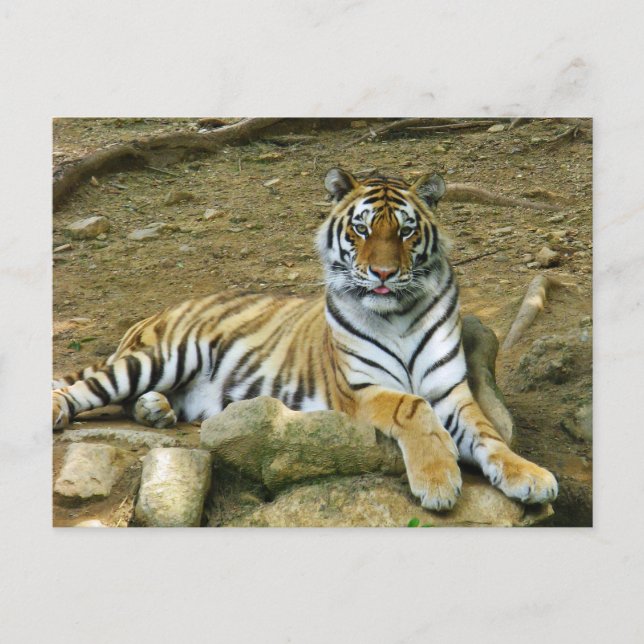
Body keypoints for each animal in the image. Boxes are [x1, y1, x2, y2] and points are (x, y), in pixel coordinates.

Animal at [52, 167, 558, 511]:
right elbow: (411, 407)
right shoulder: (360, 389)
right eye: (361, 228)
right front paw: (438, 479)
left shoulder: (451, 390)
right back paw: (63, 410)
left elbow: (489, 434)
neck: (397, 313)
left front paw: (529, 476)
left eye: (406, 230)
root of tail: (160, 311)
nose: (383, 273)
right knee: (88, 387)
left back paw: (156, 410)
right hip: (159, 357)